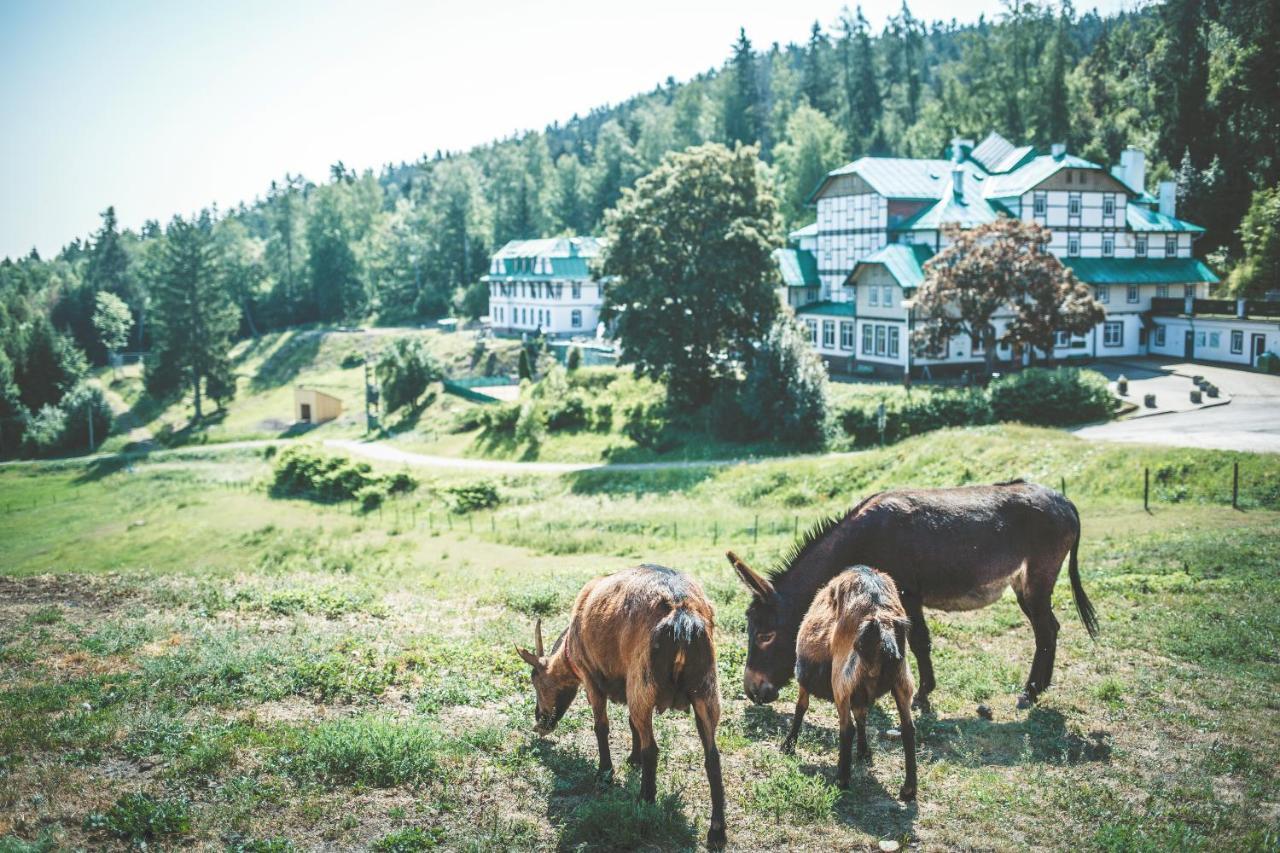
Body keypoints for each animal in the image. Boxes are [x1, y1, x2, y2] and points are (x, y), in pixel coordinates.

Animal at [514, 563, 727, 845]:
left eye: (535, 679)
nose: (540, 722)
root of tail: (682, 615)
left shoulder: (591, 678)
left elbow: (601, 727)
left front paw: (605, 773)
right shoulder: (626, 681)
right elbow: (630, 723)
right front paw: (632, 759)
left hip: (644, 681)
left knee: (653, 749)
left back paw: (644, 802)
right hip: (706, 687)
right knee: (712, 757)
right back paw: (717, 831)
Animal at [783, 563, 916, 799]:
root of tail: (882, 622)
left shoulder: (806, 680)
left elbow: (801, 707)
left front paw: (788, 745)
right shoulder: (861, 693)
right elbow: (862, 715)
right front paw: (864, 752)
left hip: (842, 680)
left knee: (847, 727)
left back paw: (842, 779)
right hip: (902, 680)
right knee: (908, 729)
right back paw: (908, 789)